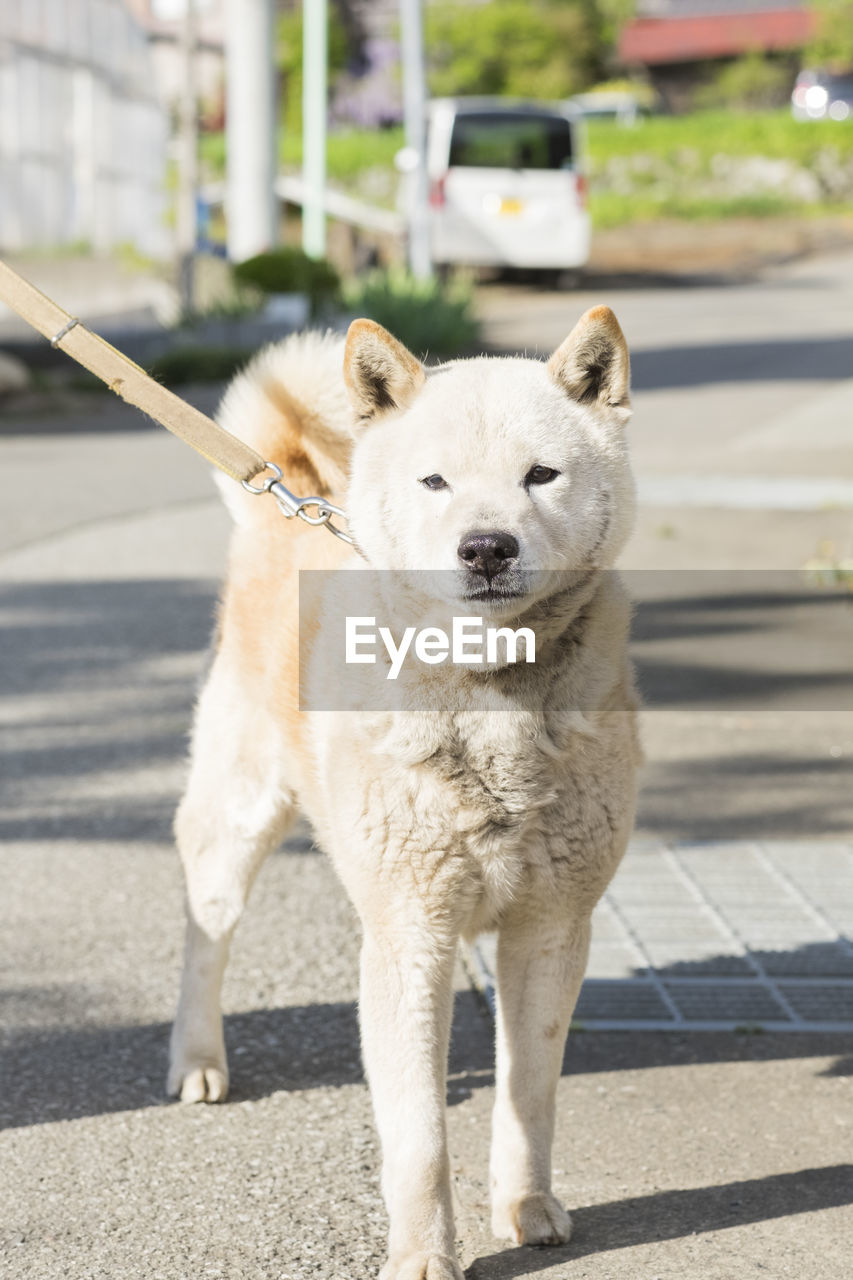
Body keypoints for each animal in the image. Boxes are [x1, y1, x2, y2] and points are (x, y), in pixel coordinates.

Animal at [166, 309, 637, 1280]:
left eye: (541, 474)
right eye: (435, 481)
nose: (486, 546)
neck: (492, 709)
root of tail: (288, 501)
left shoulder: (550, 930)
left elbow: (528, 1095)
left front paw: (526, 1207)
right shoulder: (411, 934)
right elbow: (417, 1137)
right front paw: (423, 1255)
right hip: (237, 822)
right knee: (206, 931)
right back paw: (197, 1058)